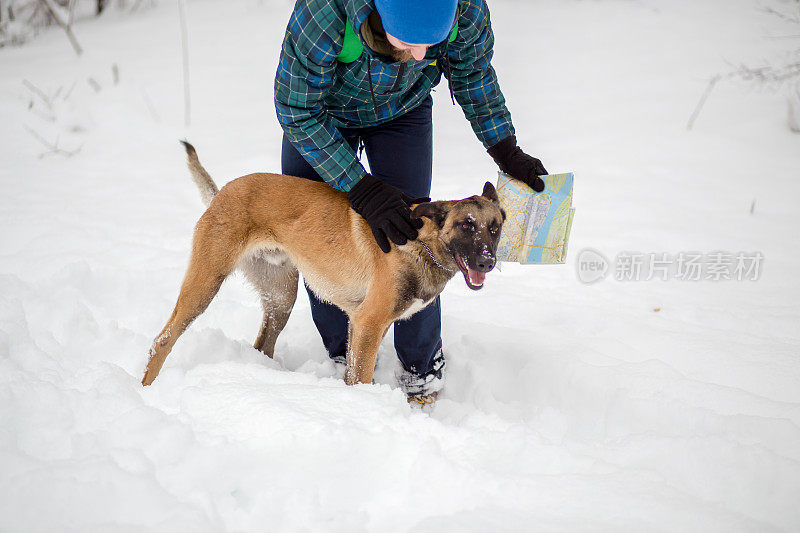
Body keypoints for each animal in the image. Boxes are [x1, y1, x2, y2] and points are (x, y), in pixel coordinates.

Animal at [142, 143, 506, 386]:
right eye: (466, 226)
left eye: (494, 227)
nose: (487, 261)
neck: (423, 244)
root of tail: (222, 193)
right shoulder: (369, 323)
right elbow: (361, 377)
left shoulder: (360, 324)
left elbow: (353, 372)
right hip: (204, 287)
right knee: (162, 340)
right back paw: (147, 388)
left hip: (280, 299)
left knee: (262, 345)